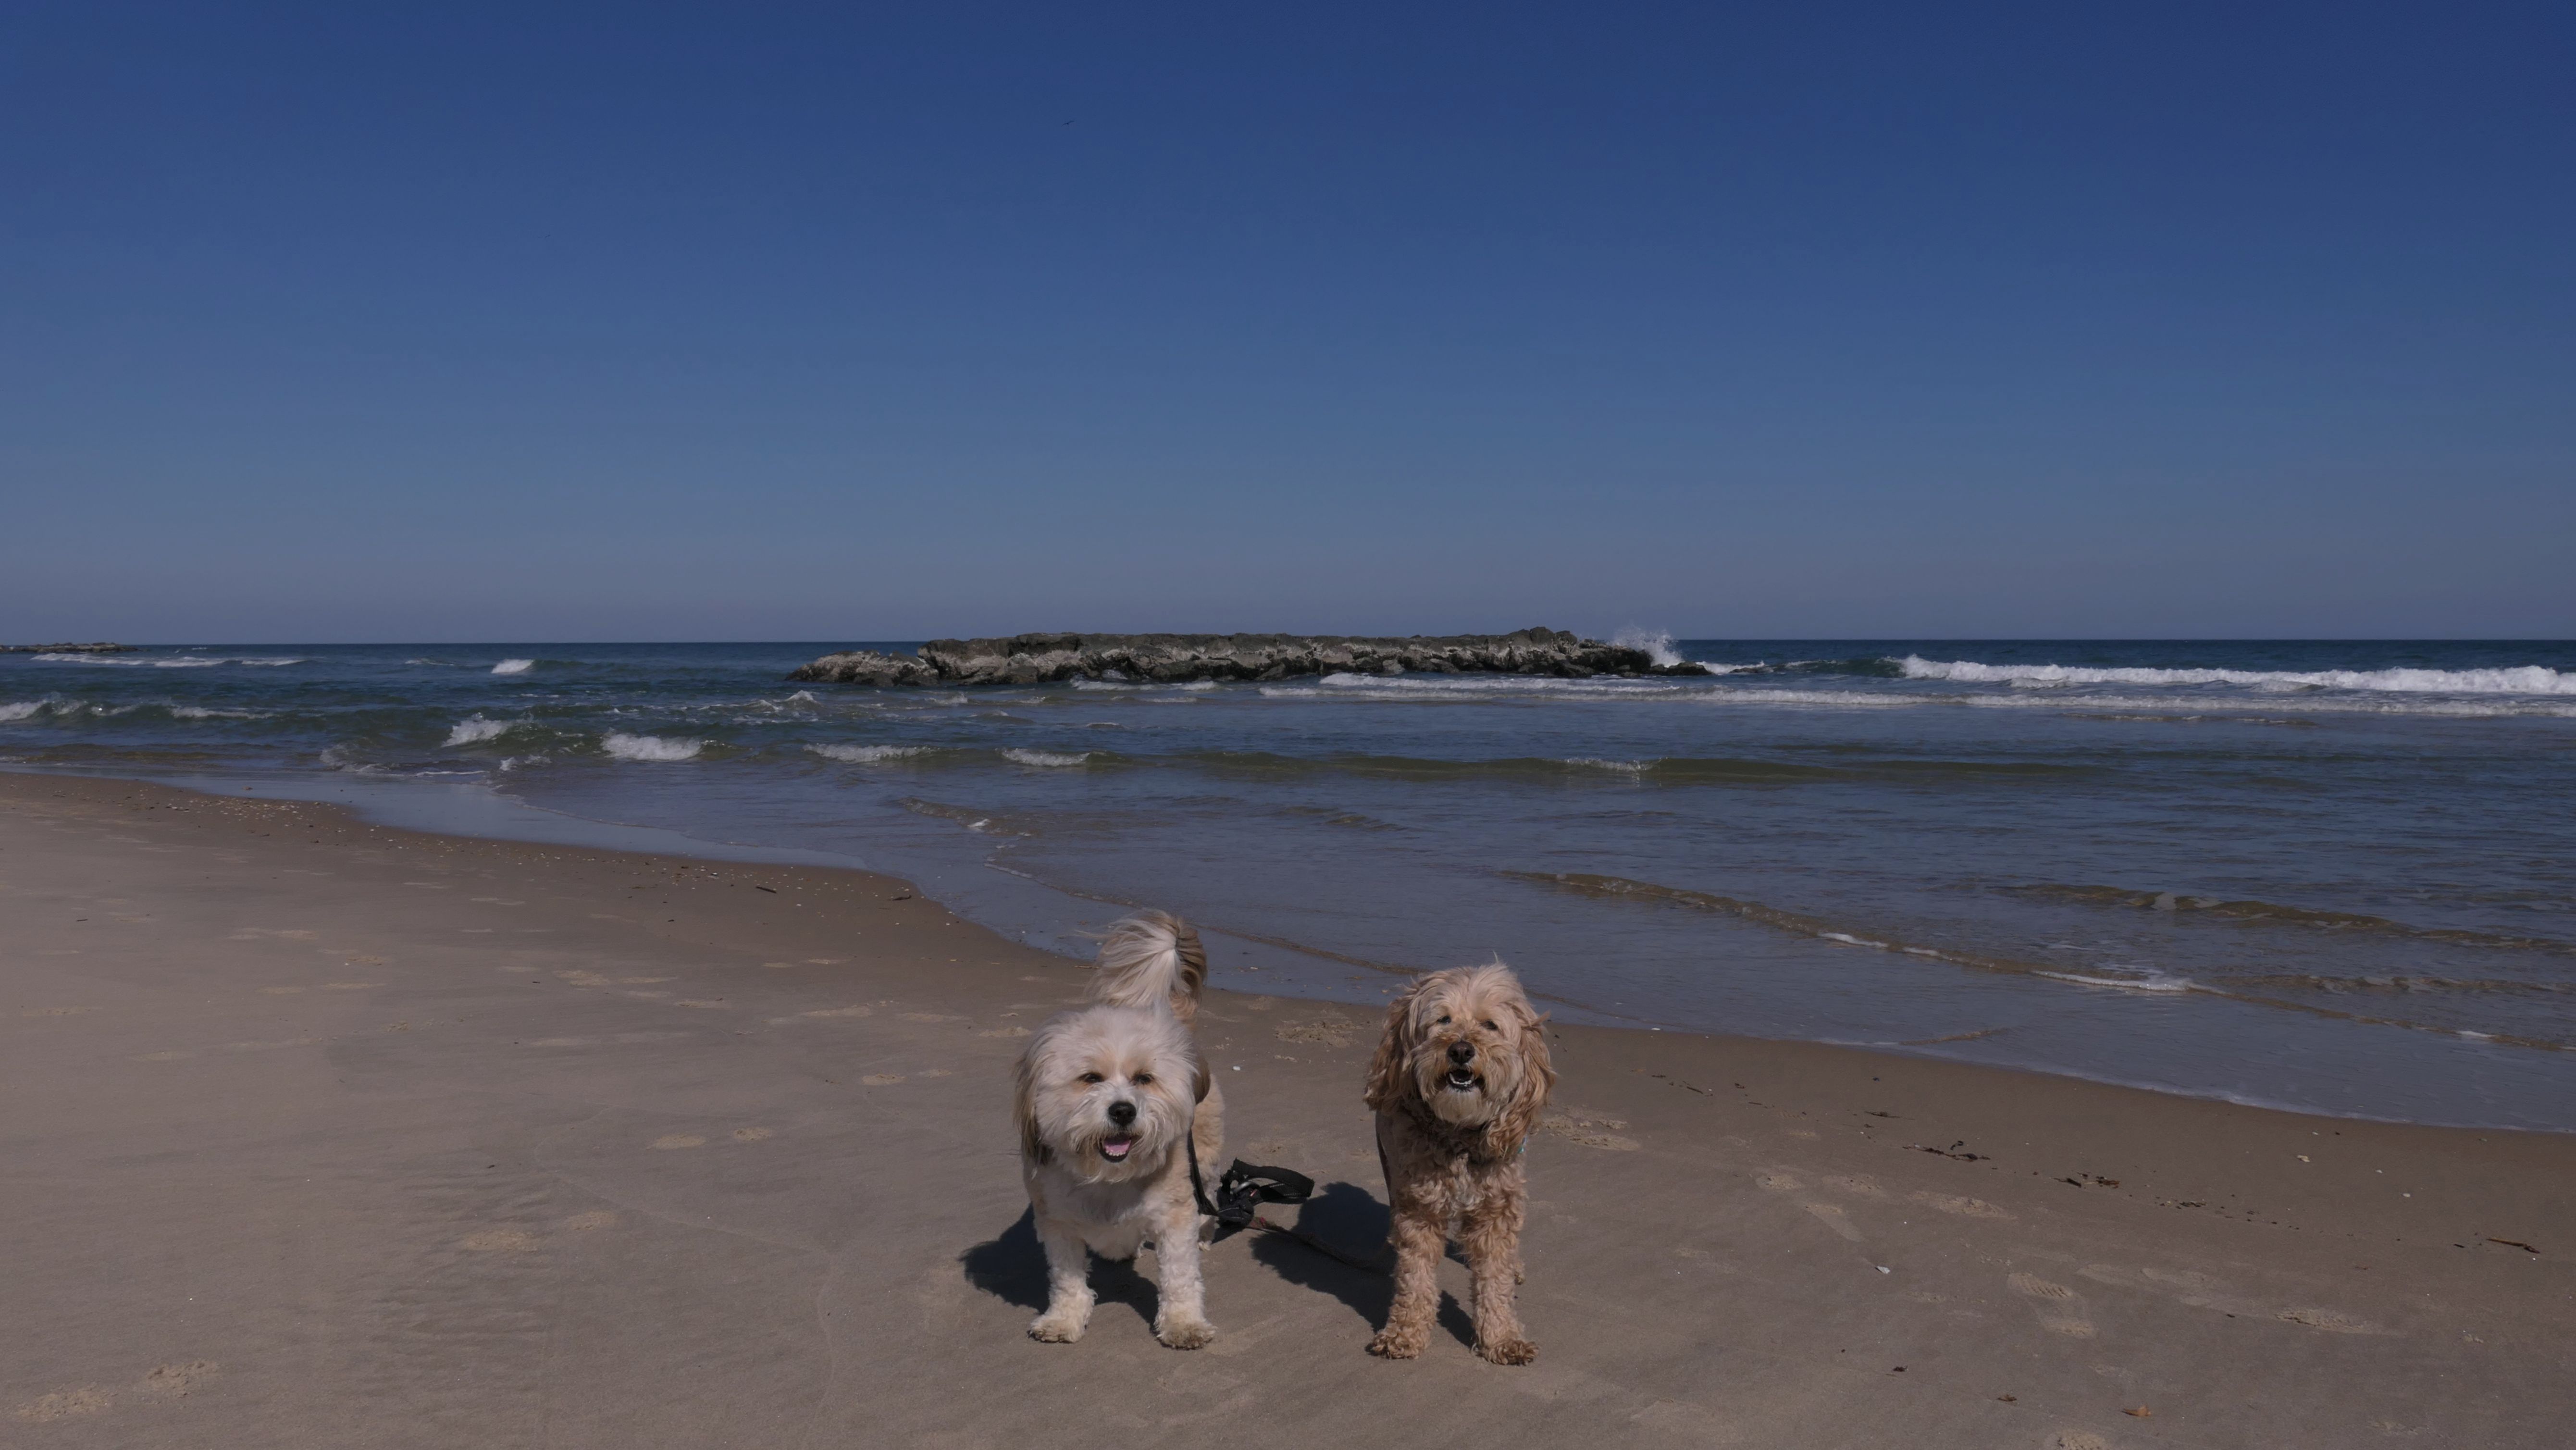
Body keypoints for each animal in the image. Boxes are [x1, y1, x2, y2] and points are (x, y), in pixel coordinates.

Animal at [1013, 911, 1224, 1349]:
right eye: (1090, 1078)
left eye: (1144, 1078)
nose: (1124, 1110)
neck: (1109, 1178)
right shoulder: (1058, 1222)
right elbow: (1067, 1280)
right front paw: (1063, 1319)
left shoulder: (1174, 1216)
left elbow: (1179, 1277)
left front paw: (1183, 1323)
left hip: (1206, 1157)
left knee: (1210, 1194)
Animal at [1362, 961, 1555, 1364]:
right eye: (1442, 1020)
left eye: (1490, 1025)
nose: (1461, 1050)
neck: (1460, 1135)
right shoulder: (1418, 1207)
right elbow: (1415, 1275)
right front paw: (1405, 1332)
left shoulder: (1496, 1209)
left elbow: (1495, 1278)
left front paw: (1501, 1337)